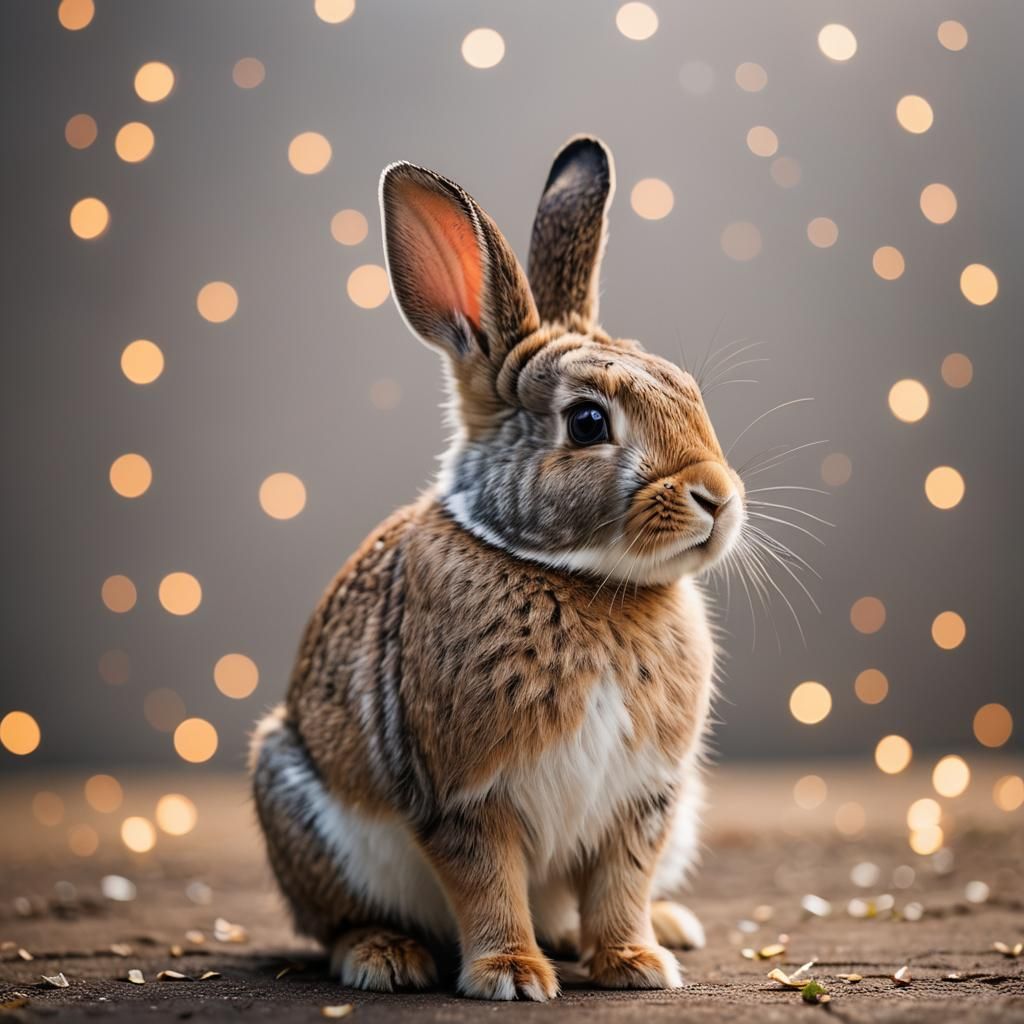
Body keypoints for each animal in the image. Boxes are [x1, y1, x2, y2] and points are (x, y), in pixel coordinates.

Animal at [250, 135, 745, 1001]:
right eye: (588, 422)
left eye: (688, 390)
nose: (718, 498)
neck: (579, 578)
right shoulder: (464, 795)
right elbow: (487, 885)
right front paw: (511, 975)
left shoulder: (643, 798)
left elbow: (621, 884)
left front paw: (636, 964)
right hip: (300, 812)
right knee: (337, 919)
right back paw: (385, 957)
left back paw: (668, 929)